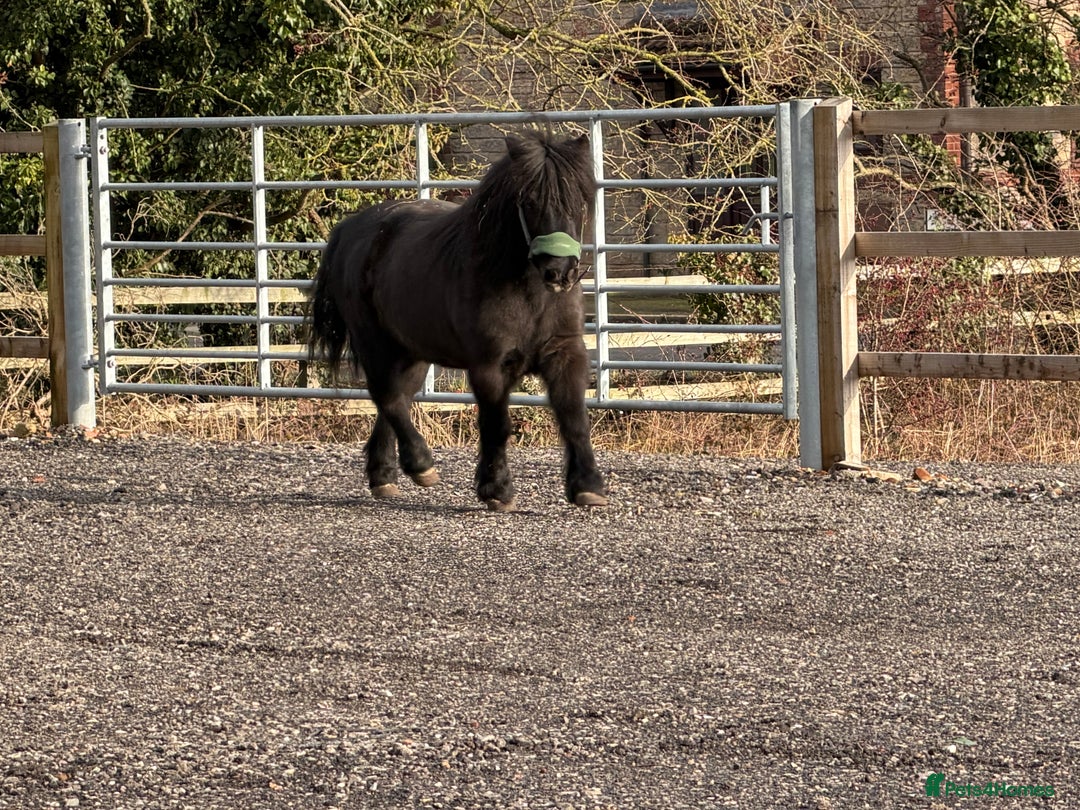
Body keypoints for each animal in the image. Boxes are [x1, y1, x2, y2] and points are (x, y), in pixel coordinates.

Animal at [308, 130, 608, 511]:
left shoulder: (565, 353)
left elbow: (574, 417)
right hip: (375, 342)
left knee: (397, 397)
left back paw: (384, 476)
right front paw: (496, 490)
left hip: (411, 352)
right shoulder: (489, 366)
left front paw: (588, 485)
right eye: (528, 201)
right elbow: (496, 426)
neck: (527, 292)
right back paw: (420, 464)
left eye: (579, 200)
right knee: (387, 396)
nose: (559, 272)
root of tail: (348, 230)